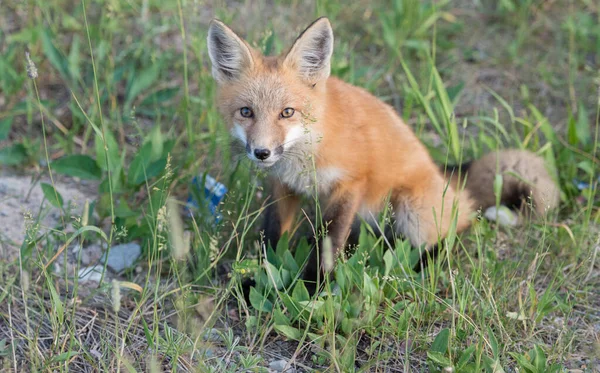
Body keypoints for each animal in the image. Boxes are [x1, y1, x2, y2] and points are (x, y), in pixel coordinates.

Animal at [207, 16, 564, 274]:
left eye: (287, 113)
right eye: (246, 112)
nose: (262, 153)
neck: (307, 152)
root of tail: (448, 178)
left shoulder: (350, 185)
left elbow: (328, 246)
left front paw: (314, 288)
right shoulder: (282, 186)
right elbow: (271, 237)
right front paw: (258, 278)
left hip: (410, 208)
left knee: (450, 237)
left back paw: (406, 265)